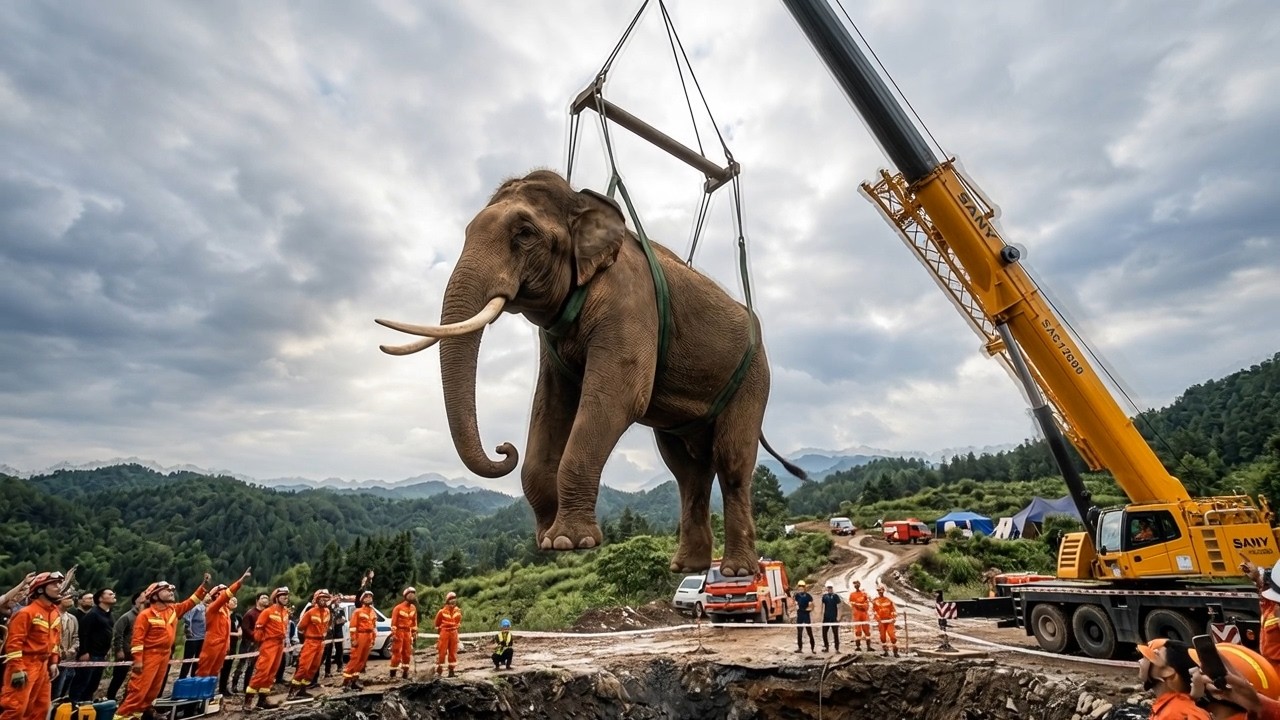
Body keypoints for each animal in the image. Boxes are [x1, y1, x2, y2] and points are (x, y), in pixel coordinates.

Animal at [376, 169, 804, 577]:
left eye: (524, 233)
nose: (503, 448)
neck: (581, 203)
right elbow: (549, 405)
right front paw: (546, 543)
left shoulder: (629, 303)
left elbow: (622, 396)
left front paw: (570, 542)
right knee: (687, 471)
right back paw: (688, 567)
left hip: (753, 379)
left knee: (731, 463)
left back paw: (734, 569)